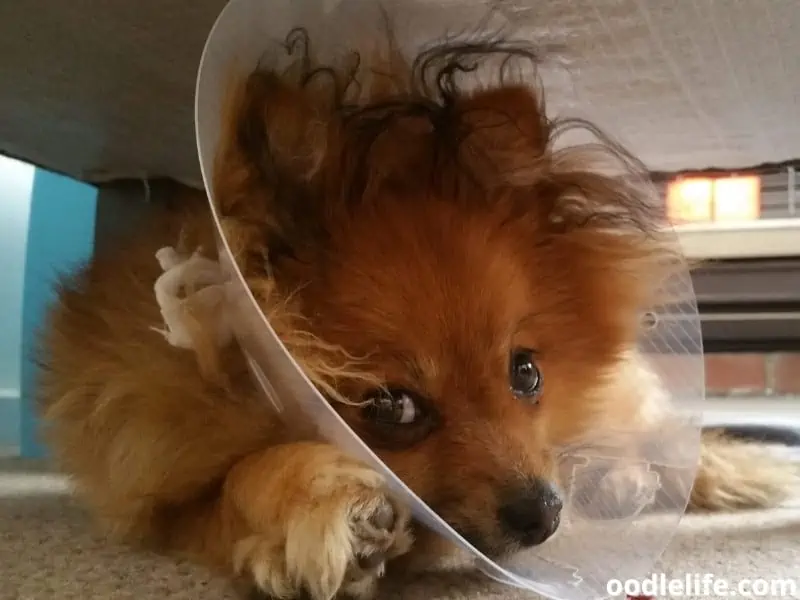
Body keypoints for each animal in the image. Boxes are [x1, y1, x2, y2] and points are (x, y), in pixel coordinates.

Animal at [34, 31, 796, 600]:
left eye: (526, 374)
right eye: (393, 408)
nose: (545, 512)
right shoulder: (162, 498)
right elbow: (239, 482)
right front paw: (326, 501)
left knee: (654, 437)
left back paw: (632, 477)